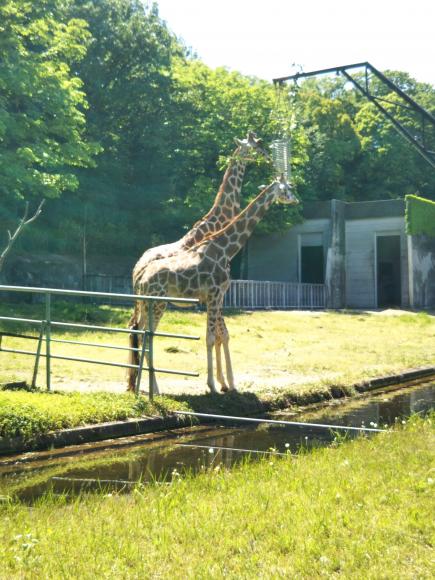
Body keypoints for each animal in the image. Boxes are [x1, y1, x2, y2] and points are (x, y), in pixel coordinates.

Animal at [127, 175, 298, 393]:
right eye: (287, 189)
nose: (295, 200)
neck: (226, 249)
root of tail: (139, 277)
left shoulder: (216, 297)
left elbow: (219, 335)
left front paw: (227, 383)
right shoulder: (215, 294)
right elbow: (210, 337)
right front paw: (213, 386)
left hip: (145, 304)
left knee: (138, 331)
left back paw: (140, 385)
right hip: (158, 303)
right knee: (145, 335)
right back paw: (154, 388)